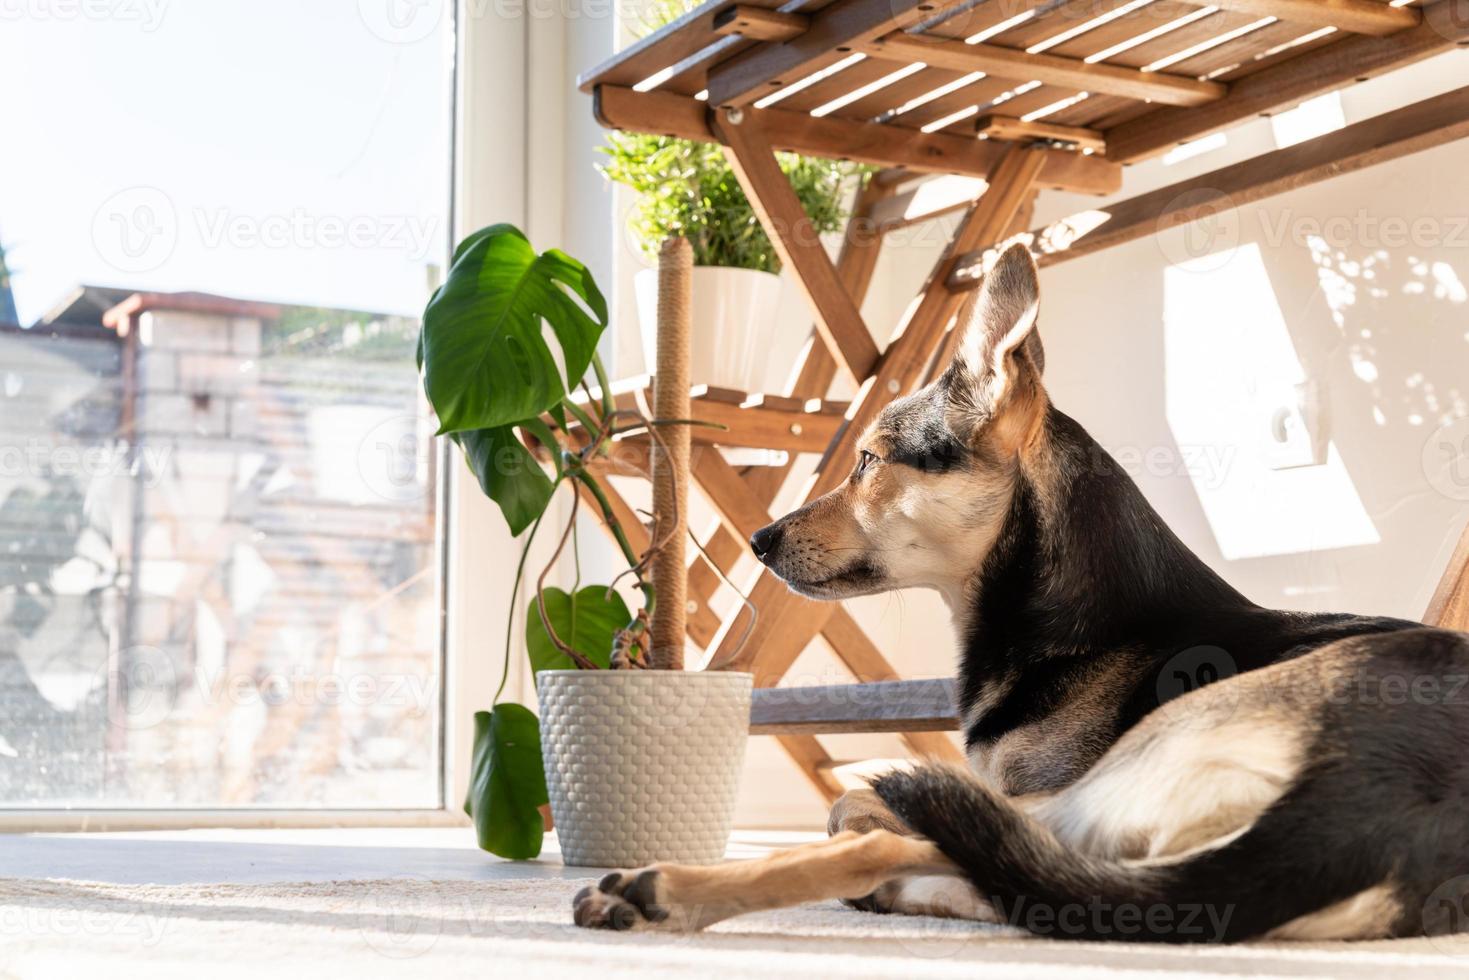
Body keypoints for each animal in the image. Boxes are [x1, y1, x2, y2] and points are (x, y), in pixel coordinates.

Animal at [569, 243, 1469, 940]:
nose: (759, 541)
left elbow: (853, 811)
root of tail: (1383, 801)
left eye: (868, 460)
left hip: (1098, 787)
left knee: (895, 849)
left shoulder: (1028, 789)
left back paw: (665, 889)